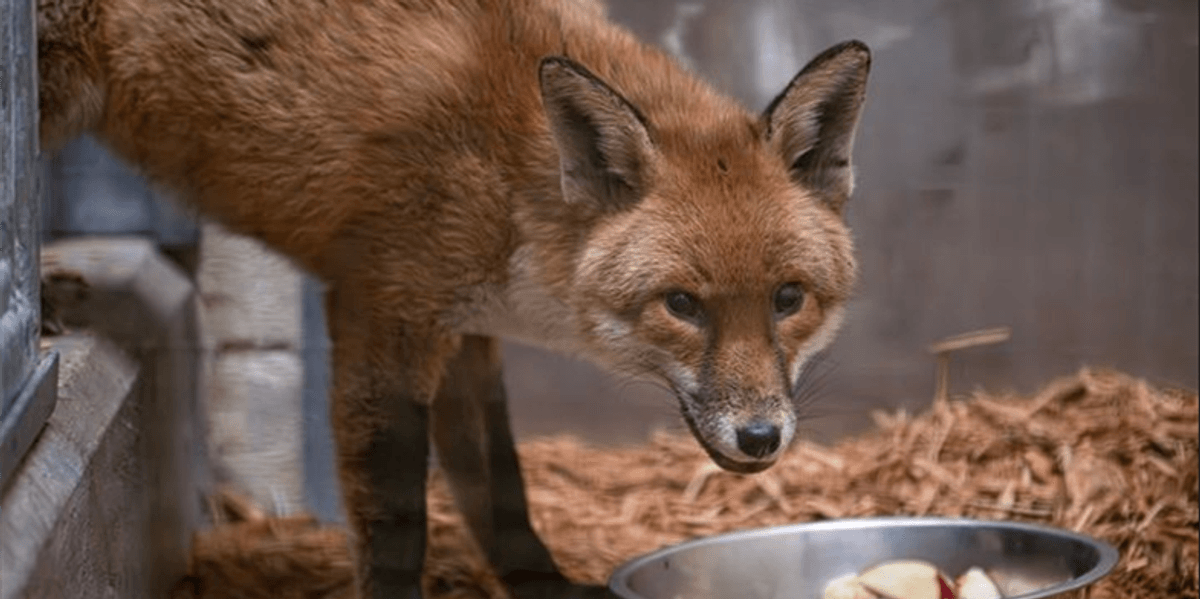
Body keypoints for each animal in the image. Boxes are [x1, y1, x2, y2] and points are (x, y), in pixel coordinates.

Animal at [36, 0, 870, 597]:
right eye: (683, 304)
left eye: (788, 298)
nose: (761, 437)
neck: (508, 177)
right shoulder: (382, 311)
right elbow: (398, 517)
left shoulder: (467, 330)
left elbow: (498, 487)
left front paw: (543, 585)